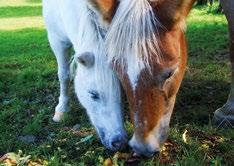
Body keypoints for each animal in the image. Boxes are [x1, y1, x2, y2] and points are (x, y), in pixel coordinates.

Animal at [42, 0, 128, 150]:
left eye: (122, 92)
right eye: (93, 95)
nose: (120, 142)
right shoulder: (57, 41)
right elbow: (64, 75)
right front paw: (62, 109)